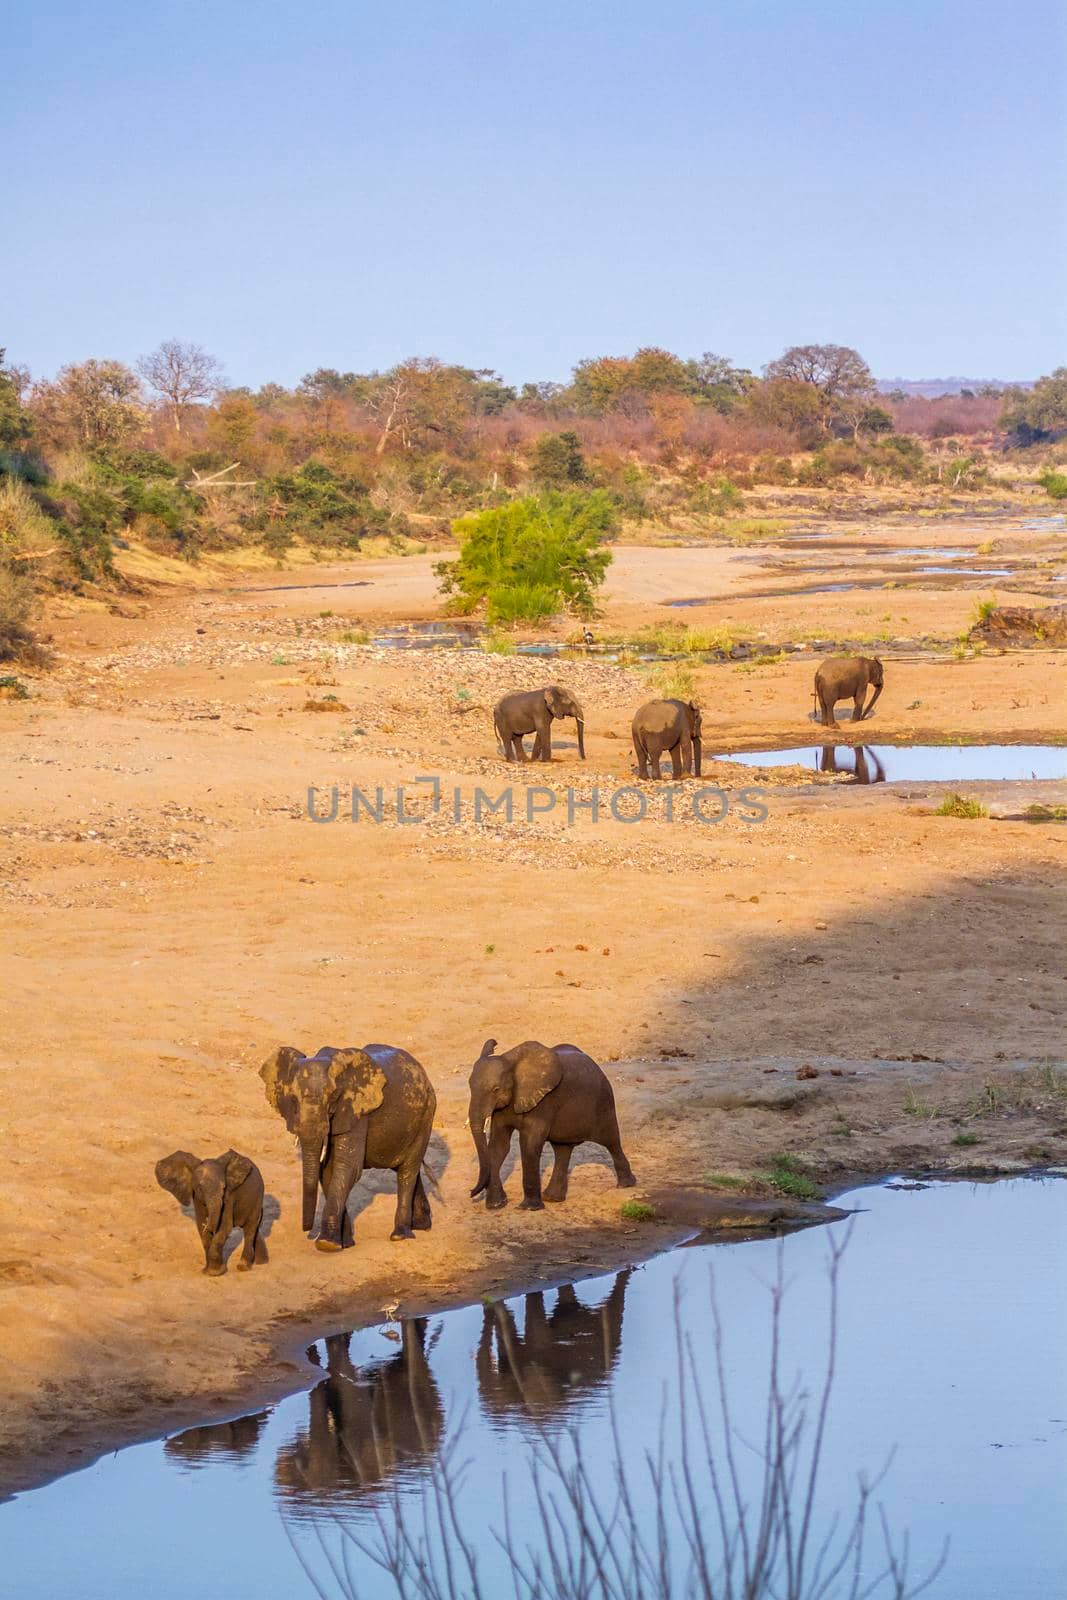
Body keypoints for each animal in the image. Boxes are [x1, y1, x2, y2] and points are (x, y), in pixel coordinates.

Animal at [259, 1043, 438, 1254]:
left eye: (334, 1096)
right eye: (293, 1100)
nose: (307, 1231)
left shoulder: (357, 1111)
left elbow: (347, 1167)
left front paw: (327, 1244)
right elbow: (327, 1171)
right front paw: (344, 1243)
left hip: (426, 1114)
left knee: (407, 1170)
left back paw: (399, 1235)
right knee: (409, 1168)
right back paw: (421, 1225)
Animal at [467, 1036, 633, 1209]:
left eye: (496, 1089)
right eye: (470, 1086)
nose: (471, 1193)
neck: (511, 1063)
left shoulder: (544, 1101)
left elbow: (529, 1144)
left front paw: (529, 1208)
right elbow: (499, 1146)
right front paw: (496, 1205)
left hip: (604, 1102)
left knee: (611, 1141)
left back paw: (625, 1184)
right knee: (562, 1149)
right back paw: (552, 1198)